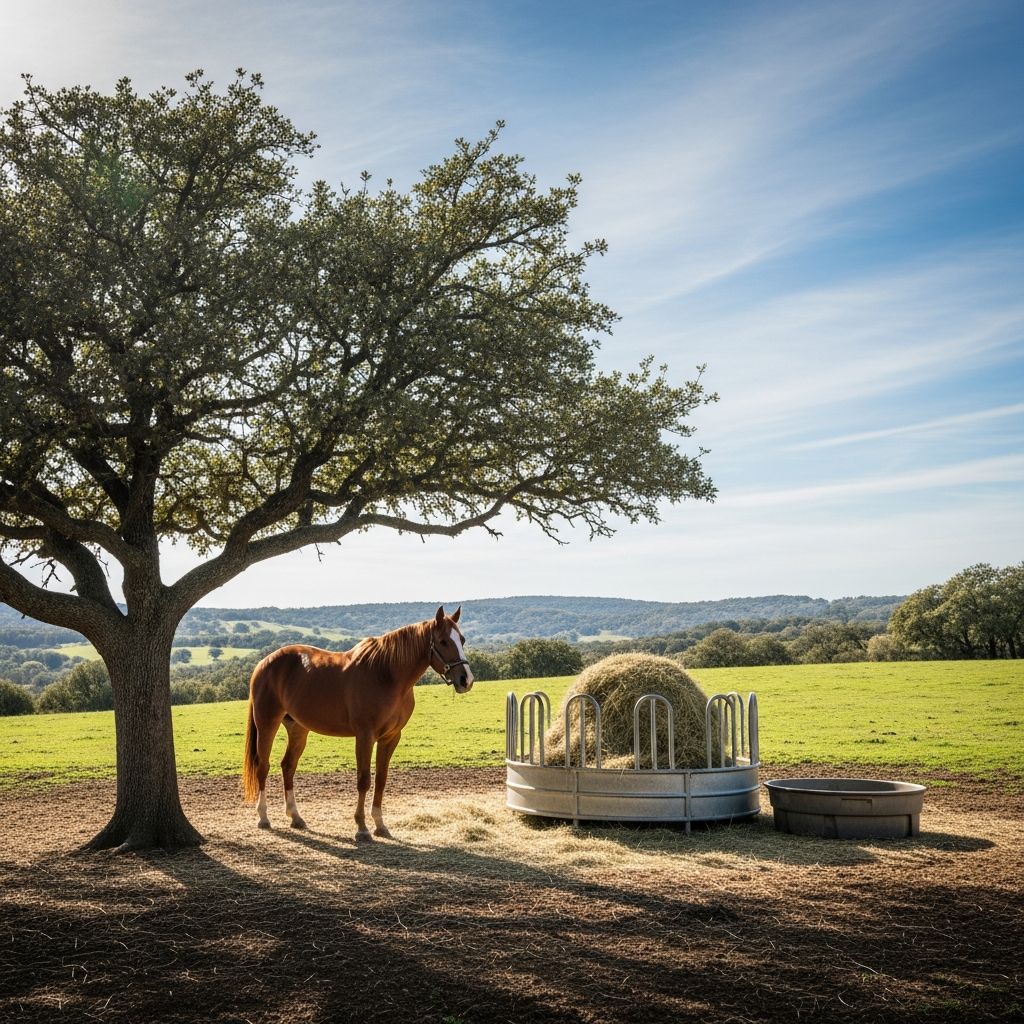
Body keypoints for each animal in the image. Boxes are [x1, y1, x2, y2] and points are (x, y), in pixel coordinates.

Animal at [242, 605, 473, 841]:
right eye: (443, 641)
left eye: (462, 640)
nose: (466, 679)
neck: (386, 675)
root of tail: (263, 663)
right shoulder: (365, 736)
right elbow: (363, 780)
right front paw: (362, 827)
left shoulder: (391, 737)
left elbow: (381, 779)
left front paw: (380, 825)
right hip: (267, 724)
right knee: (263, 767)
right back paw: (263, 817)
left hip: (298, 728)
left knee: (288, 766)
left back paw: (296, 817)